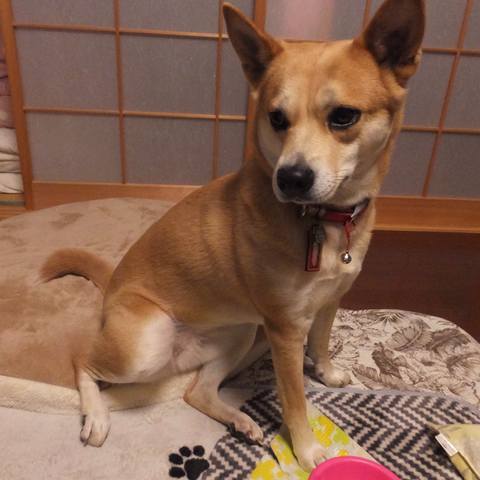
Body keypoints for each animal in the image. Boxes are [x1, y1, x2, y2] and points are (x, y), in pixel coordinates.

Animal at [41, 0, 425, 471]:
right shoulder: (284, 330)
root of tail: (112, 283)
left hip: (240, 332)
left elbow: (322, 341)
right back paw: (96, 416)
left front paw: (328, 372)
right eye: (276, 118)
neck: (326, 220)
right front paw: (307, 452)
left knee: (196, 391)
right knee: (82, 361)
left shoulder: (330, 301)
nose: (291, 178)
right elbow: (295, 399)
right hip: (147, 347)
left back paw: (238, 419)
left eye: (343, 116)